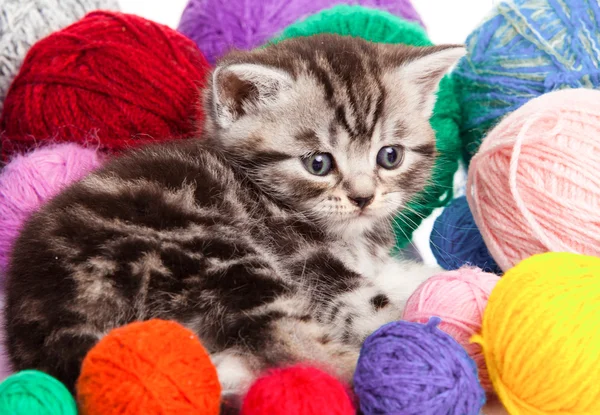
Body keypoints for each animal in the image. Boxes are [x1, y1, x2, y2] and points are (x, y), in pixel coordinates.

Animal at [2, 35, 464, 396]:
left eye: (390, 156)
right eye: (318, 163)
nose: (363, 197)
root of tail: (42, 318)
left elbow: (398, 277)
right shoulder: (307, 262)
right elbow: (373, 308)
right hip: (215, 254)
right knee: (292, 346)